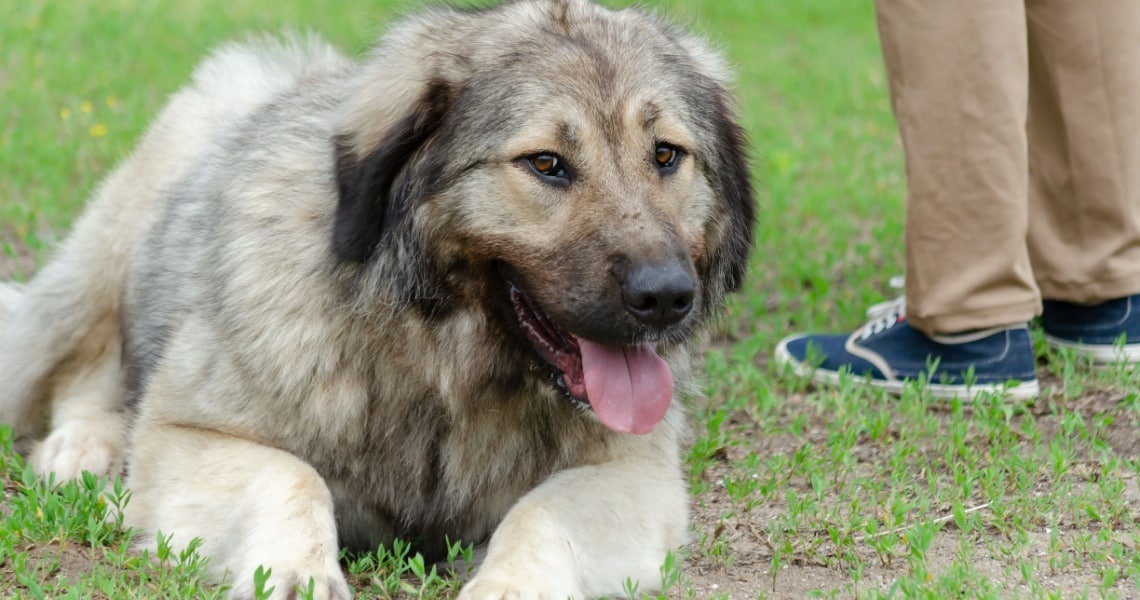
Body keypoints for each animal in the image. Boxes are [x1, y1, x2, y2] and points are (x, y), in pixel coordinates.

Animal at [0, 0, 756, 597]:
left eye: (666, 155)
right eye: (546, 164)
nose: (666, 297)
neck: (436, 357)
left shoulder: (635, 475)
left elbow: (541, 514)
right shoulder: (188, 436)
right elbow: (292, 477)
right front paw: (297, 573)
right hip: (110, 252)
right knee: (83, 365)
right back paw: (83, 445)